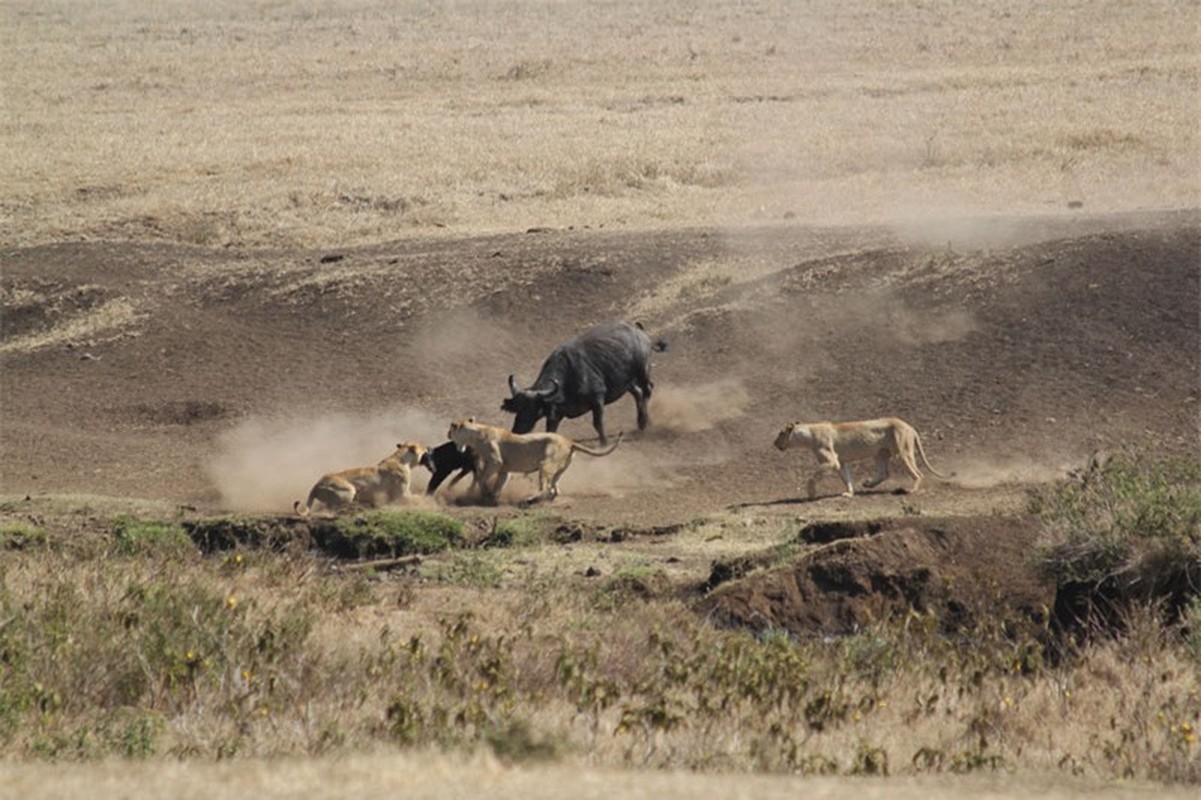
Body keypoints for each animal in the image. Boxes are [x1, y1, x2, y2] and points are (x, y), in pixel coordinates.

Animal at [499, 317, 667, 442]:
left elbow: (597, 424)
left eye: (533, 409)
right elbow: (551, 432)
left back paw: (644, 421)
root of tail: (638, 329)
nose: (517, 430)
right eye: (517, 408)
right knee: (637, 393)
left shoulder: (598, 400)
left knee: (647, 390)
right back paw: (642, 422)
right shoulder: (555, 415)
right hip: (627, 381)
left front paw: (604, 443)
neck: (568, 379)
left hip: (642, 372)